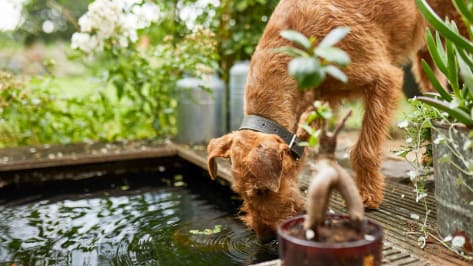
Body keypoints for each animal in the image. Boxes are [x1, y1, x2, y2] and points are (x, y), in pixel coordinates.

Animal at [206, 0, 460, 239]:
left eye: (262, 190)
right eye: (239, 191)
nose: (265, 236)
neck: (296, 50)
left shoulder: (383, 79)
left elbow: (365, 148)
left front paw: (367, 195)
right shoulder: (324, 96)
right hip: (428, 50)